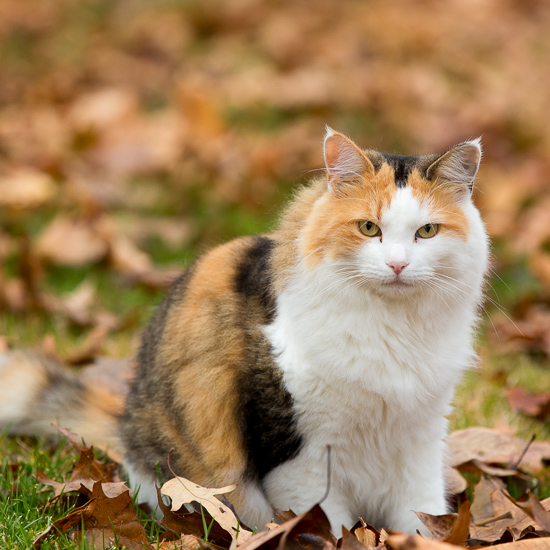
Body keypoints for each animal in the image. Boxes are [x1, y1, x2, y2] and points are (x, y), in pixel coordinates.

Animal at [1, 129, 492, 536]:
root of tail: (125, 420)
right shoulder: (298, 450)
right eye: (369, 228)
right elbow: (326, 524)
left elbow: (422, 516)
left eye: (427, 231)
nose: (397, 265)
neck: (393, 330)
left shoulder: (421, 440)